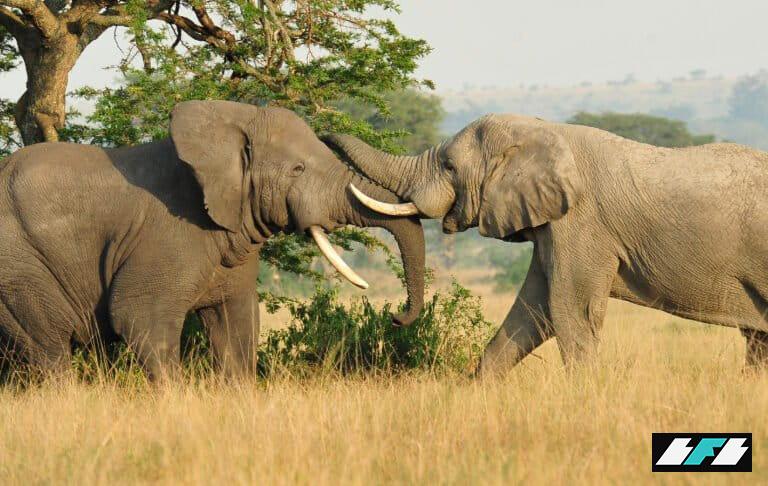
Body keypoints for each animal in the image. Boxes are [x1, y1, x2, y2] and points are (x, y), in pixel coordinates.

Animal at [0, 100, 425, 379]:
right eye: (298, 169)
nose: (395, 316)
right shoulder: (169, 235)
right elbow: (140, 315)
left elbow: (237, 323)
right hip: (21, 268)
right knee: (50, 350)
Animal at [324, 113, 768, 375]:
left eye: (449, 166)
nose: (395, 318)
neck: (541, 130)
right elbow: (531, 312)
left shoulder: (581, 223)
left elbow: (570, 311)